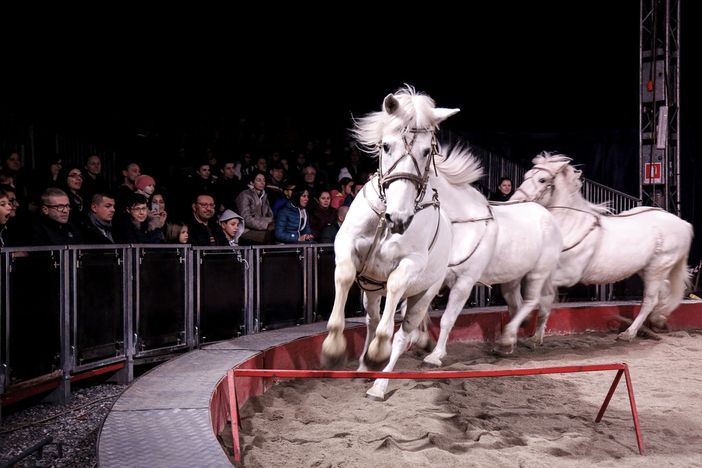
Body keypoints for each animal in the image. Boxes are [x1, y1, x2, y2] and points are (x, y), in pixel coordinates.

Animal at [321, 86, 460, 400]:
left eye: (426, 150)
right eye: (385, 146)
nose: (398, 219)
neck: (386, 221)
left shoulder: (410, 264)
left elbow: (395, 293)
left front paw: (377, 352)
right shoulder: (346, 245)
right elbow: (344, 276)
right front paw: (333, 348)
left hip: (423, 296)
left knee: (402, 333)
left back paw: (379, 381)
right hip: (372, 290)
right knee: (372, 319)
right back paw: (363, 367)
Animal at [511, 152, 694, 341]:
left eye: (542, 179)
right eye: (526, 176)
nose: (515, 202)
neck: (571, 226)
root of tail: (684, 223)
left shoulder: (568, 275)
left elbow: (534, 290)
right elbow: (527, 287)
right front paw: (534, 334)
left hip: (658, 267)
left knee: (651, 299)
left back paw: (630, 332)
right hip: (647, 269)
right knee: (664, 291)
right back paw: (658, 321)